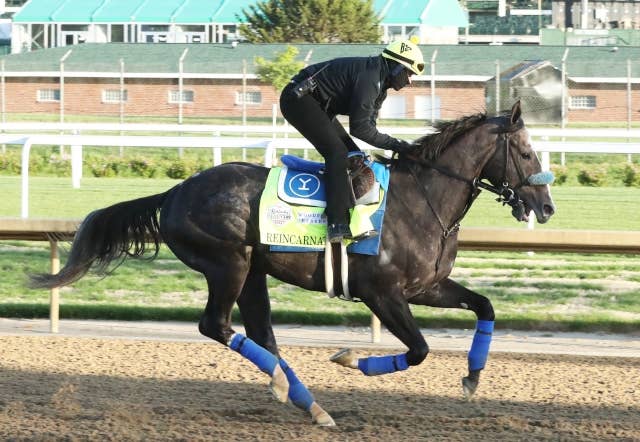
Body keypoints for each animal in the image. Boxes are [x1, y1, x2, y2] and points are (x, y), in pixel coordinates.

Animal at [31, 101, 555, 426]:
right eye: (526, 152)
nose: (546, 206)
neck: (423, 200)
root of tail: (174, 192)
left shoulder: (426, 287)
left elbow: (485, 306)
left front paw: (472, 377)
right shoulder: (382, 293)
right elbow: (420, 349)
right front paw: (350, 358)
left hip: (252, 272)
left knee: (261, 334)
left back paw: (306, 402)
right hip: (228, 263)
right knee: (216, 326)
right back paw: (291, 389)